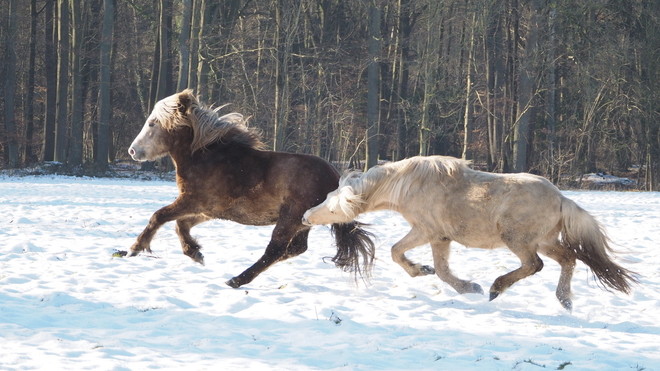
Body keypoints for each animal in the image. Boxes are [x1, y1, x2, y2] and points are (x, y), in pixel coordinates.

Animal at [127, 89, 376, 288]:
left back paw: (236, 280)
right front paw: (195, 252)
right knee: (295, 249)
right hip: (303, 222)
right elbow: (181, 225)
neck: (206, 156)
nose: (132, 151)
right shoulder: (207, 210)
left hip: (290, 218)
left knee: (275, 249)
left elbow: (159, 216)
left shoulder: (191, 201)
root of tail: (336, 177)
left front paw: (135, 248)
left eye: (152, 123)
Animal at [304, 155, 640, 312]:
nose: (307, 216)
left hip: (518, 240)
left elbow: (400, 253)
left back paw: (496, 288)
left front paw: (459, 283)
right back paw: (565, 301)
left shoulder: (427, 231)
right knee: (569, 260)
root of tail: (561, 198)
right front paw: (461, 285)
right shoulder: (439, 237)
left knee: (534, 265)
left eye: (332, 206)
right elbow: (437, 269)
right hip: (544, 241)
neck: (406, 184)